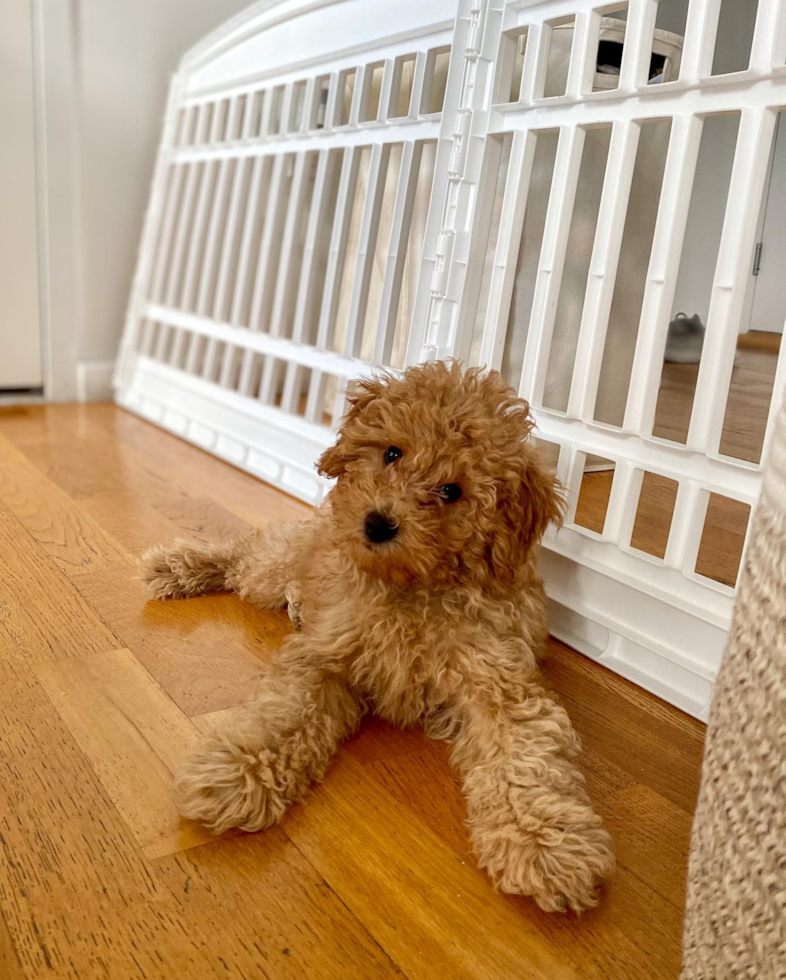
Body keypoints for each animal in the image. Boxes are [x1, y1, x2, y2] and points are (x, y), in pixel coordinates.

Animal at [144, 364, 616, 916]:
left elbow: (527, 758)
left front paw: (545, 843)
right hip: (279, 562)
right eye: (392, 453)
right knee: (245, 556)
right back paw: (178, 566)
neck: (411, 586)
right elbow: (283, 716)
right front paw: (236, 773)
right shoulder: (324, 655)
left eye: (452, 491)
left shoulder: (500, 683)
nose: (378, 522)